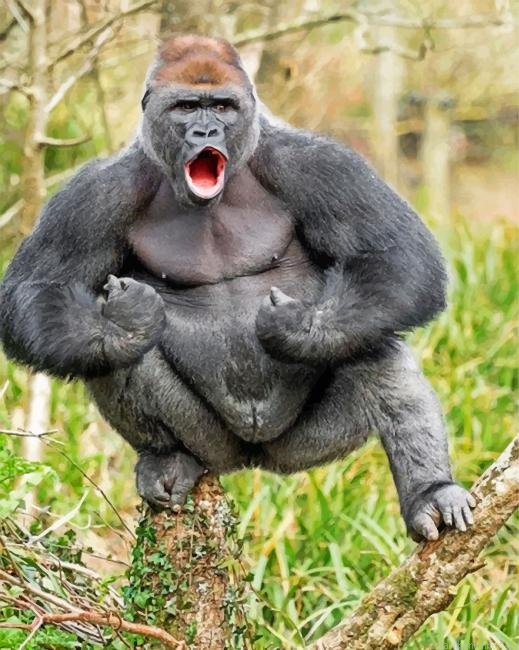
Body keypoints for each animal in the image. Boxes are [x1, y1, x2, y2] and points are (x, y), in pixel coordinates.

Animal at [0, 35, 475, 541]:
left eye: (223, 107)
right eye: (187, 107)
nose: (205, 132)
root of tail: (254, 458)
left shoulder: (318, 163)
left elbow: (397, 257)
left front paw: (298, 328)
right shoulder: (98, 191)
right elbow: (38, 289)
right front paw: (125, 324)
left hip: (304, 446)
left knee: (372, 339)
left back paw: (430, 491)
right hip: (213, 447)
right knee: (114, 357)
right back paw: (166, 453)